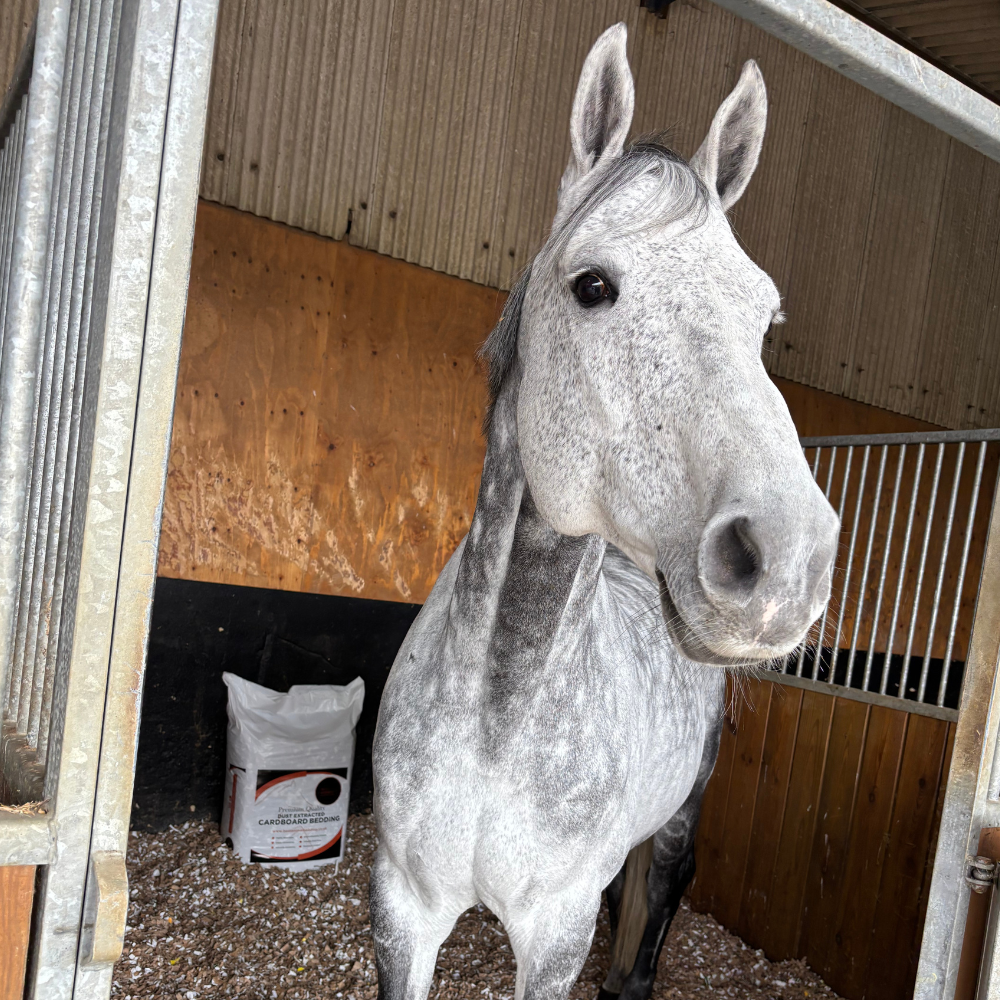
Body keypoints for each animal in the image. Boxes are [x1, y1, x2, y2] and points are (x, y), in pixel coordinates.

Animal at [372, 23, 840, 1000]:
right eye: (592, 286)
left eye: (765, 320)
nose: (791, 561)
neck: (497, 723)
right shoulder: (401, 907)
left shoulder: (555, 932)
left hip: (682, 815)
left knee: (660, 889)